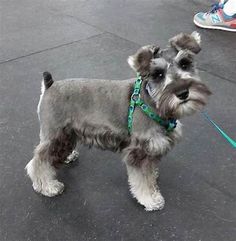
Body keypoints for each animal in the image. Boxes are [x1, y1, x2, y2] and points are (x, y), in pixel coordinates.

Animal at [25, 31, 210, 211]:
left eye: (185, 64)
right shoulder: (138, 152)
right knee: (38, 161)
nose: (183, 92)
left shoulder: (152, 149)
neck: (152, 102)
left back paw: (68, 156)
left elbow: (150, 172)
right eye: (158, 74)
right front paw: (150, 199)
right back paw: (47, 186)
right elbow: (142, 180)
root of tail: (49, 86)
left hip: (66, 133)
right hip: (55, 134)